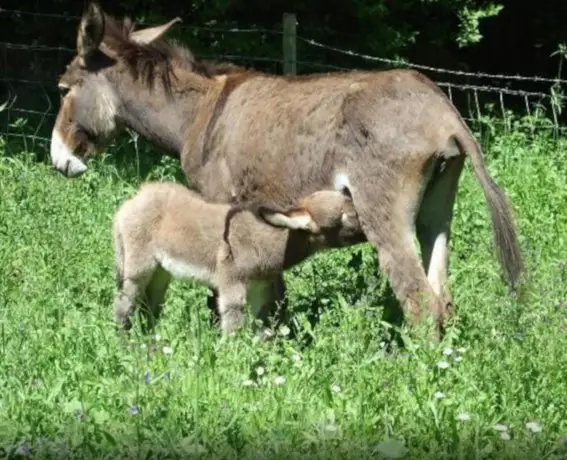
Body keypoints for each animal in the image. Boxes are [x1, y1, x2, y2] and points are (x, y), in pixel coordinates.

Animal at [110, 181, 364, 336]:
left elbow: (263, 325)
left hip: (161, 272)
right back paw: (126, 345)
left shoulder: (261, 289)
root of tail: (134, 200)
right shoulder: (232, 285)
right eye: (343, 217)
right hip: (138, 267)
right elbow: (233, 324)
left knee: (149, 307)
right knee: (124, 305)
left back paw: (150, 342)